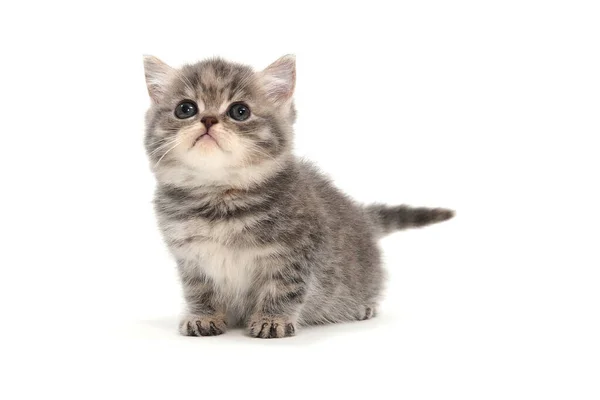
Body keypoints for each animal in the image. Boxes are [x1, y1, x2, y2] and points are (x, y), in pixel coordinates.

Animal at [143, 54, 452, 338]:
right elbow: (199, 291)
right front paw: (203, 317)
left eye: (239, 111)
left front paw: (272, 320)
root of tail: (361, 215)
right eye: (185, 109)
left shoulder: (294, 253)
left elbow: (283, 288)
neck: (220, 196)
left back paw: (364, 306)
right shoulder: (191, 261)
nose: (208, 120)